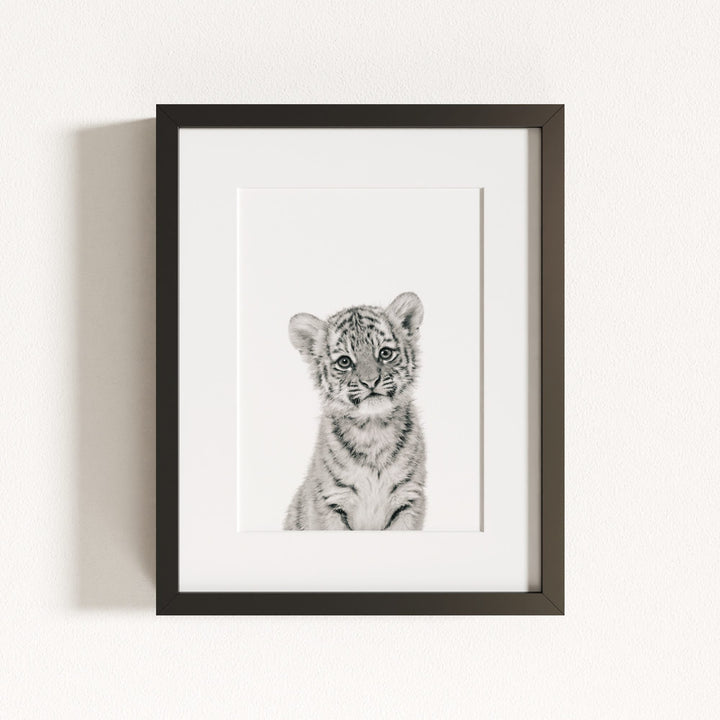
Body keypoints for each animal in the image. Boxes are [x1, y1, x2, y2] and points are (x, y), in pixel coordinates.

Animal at [284, 292, 426, 531]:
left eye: (385, 353)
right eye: (344, 361)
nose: (371, 381)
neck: (373, 430)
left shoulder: (409, 499)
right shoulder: (331, 502)